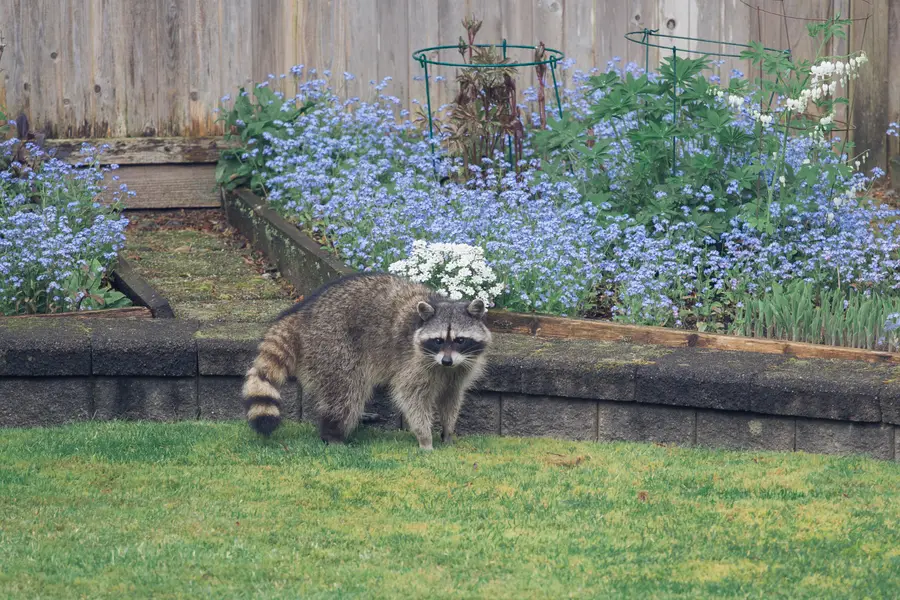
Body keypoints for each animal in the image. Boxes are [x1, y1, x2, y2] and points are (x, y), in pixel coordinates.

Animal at [242, 273, 492, 450]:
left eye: (460, 340)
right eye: (438, 340)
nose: (447, 361)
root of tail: (303, 314)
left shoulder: (460, 370)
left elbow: (451, 398)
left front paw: (448, 432)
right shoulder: (413, 362)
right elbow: (411, 397)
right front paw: (425, 438)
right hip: (333, 344)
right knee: (346, 392)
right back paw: (333, 433)